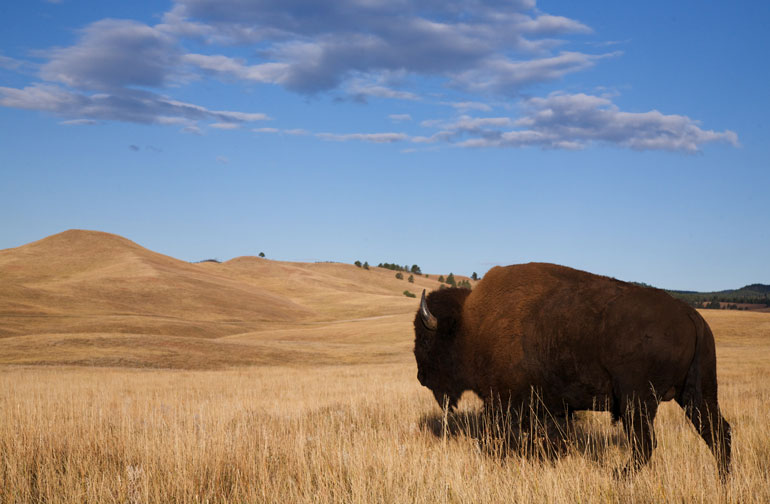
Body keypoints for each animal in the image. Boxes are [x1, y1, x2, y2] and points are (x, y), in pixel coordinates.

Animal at [416, 262, 728, 478]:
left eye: (427, 339)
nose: (420, 377)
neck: (472, 326)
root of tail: (691, 315)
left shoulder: (505, 402)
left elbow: (504, 435)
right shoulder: (552, 407)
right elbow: (554, 438)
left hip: (638, 401)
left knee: (645, 444)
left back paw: (619, 475)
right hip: (697, 394)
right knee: (717, 432)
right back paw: (724, 479)